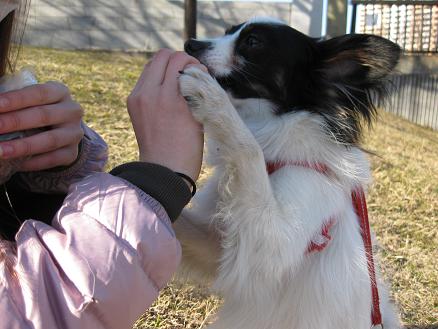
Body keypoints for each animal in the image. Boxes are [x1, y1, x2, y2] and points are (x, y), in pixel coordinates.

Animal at [176, 16, 402, 326]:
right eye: (227, 32)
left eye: (253, 42)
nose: (190, 44)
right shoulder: (220, 245)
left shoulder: (271, 242)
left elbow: (249, 148)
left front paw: (212, 98)